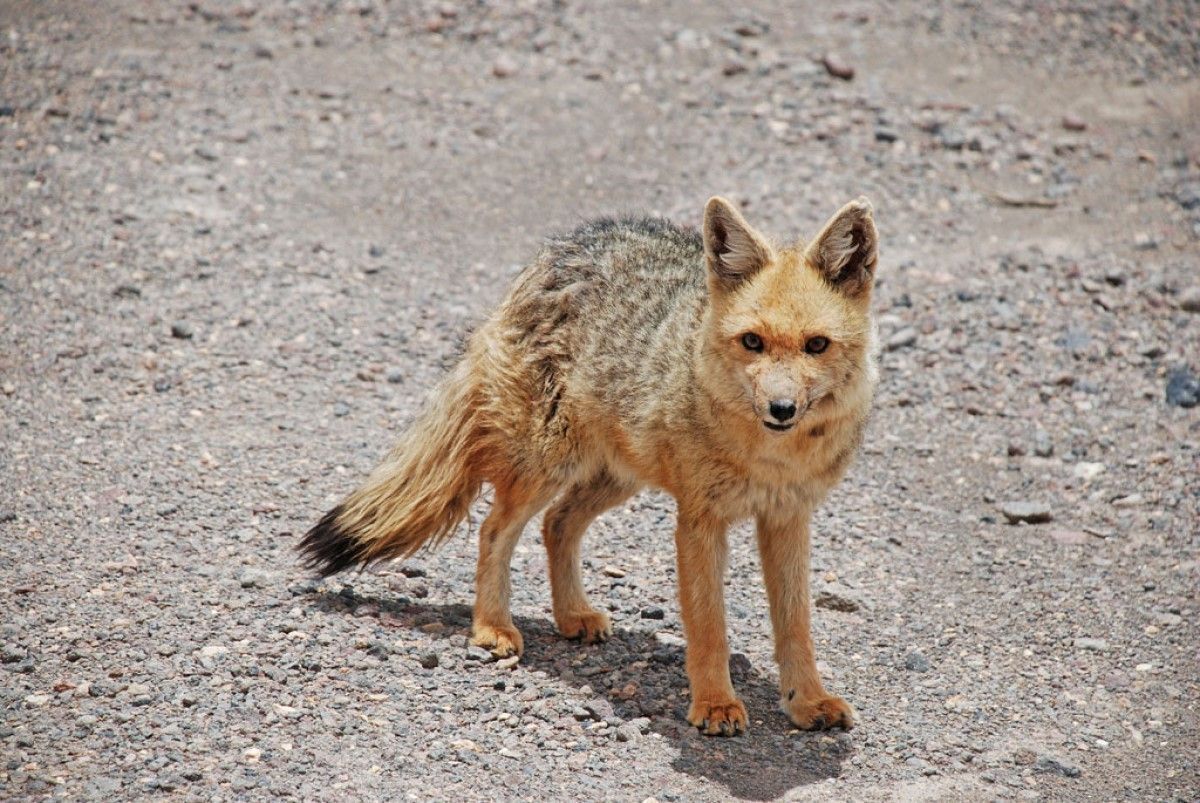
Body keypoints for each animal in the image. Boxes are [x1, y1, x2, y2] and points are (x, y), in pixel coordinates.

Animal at [300, 194, 883, 734]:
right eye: (752, 342)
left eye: (816, 345)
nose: (781, 409)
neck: (770, 460)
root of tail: (561, 247)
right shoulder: (700, 520)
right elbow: (708, 625)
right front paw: (715, 704)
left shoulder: (789, 516)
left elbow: (796, 623)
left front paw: (806, 701)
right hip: (547, 465)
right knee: (494, 529)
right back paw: (491, 626)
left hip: (614, 476)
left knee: (557, 524)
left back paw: (571, 616)